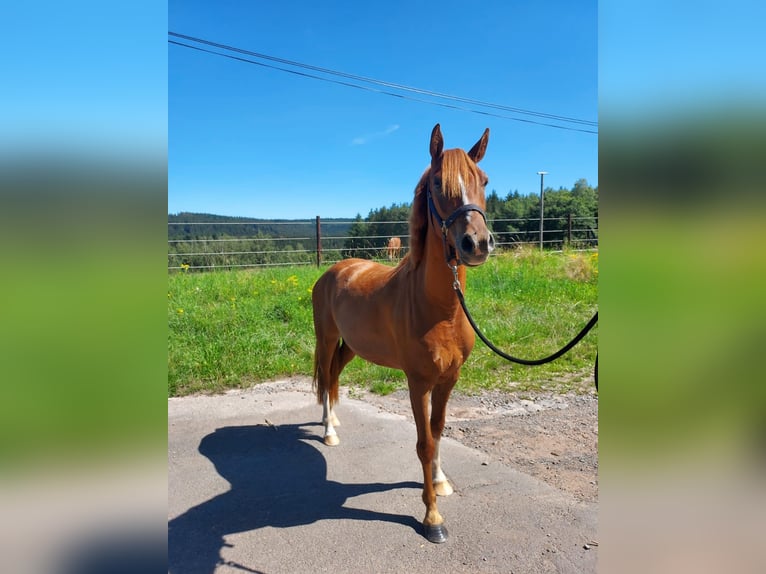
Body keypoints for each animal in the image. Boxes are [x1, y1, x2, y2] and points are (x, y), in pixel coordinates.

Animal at [314, 125, 498, 544]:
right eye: (438, 183)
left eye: (483, 181)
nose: (477, 243)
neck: (439, 309)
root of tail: (336, 269)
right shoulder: (418, 382)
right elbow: (424, 442)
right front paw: (432, 517)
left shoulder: (449, 379)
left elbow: (439, 431)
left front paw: (441, 482)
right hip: (327, 339)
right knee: (325, 377)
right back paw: (329, 431)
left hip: (351, 347)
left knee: (333, 376)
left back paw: (335, 423)